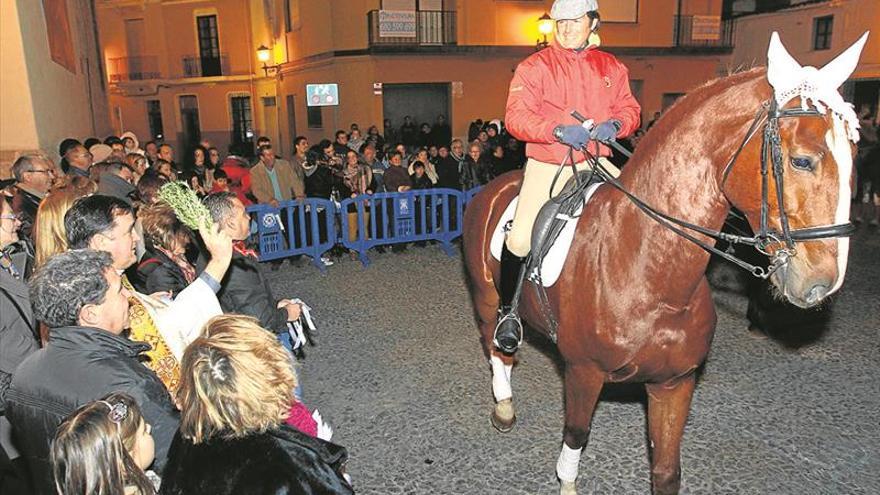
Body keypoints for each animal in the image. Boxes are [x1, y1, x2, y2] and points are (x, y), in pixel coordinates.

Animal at [464, 39, 864, 495]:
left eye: (854, 155)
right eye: (801, 161)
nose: (822, 282)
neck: (652, 273)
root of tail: (495, 185)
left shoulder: (675, 384)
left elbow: (666, 471)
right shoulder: (583, 373)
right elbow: (576, 438)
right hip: (486, 295)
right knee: (496, 345)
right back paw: (504, 403)